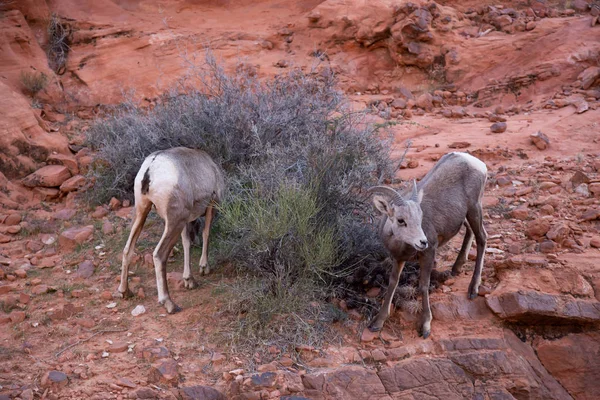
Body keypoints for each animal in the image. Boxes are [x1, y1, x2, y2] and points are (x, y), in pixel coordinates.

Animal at [115, 145, 225, 314]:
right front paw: (204, 268)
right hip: (173, 222)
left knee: (128, 249)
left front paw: (189, 280)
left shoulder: (186, 220)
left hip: (142, 212)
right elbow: (206, 234)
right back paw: (170, 304)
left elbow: (186, 242)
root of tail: (151, 168)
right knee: (159, 255)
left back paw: (125, 292)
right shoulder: (211, 206)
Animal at [366, 152, 488, 340]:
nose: (423, 242)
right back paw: (456, 268)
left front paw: (425, 327)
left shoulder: (429, 254)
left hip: (475, 208)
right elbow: (393, 283)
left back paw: (473, 289)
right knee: (470, 231)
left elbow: (423, 285)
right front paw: (377, 323)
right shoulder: (398, 259)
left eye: (421, 217)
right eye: (401, 220)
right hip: (465, 215)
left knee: (482, 238)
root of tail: (473, 161)